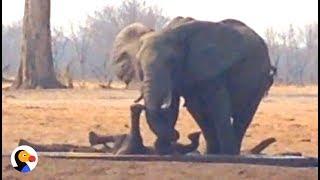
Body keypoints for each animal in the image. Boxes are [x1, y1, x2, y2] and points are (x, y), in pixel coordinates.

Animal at [110, 17, 276, 155]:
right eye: (139, 64)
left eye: (171, 62)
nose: (178, 134)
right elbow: (178, 106)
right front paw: (164, 150)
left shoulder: (210, 67)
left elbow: (218, 105)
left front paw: (226, 154)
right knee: (200, 110)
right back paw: (212, 152)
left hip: (260, 78)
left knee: (244, 114)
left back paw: (230, 152)